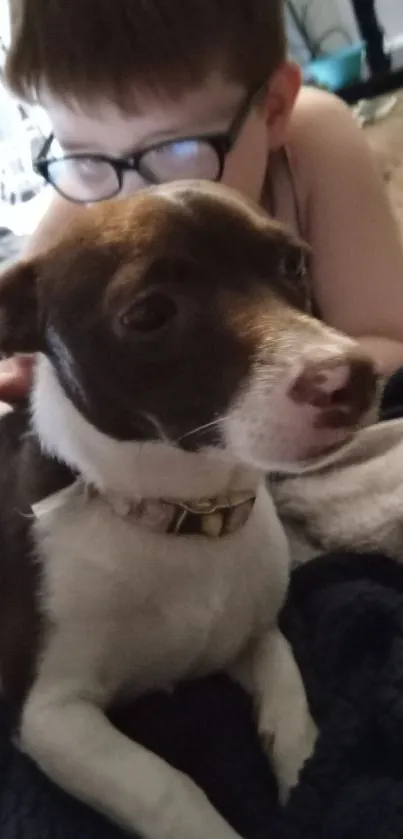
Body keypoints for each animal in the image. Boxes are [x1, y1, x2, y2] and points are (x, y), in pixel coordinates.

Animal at [0, 182, 378, 839]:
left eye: (293, 264)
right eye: (148, 314)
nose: (354, 377)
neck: (185, 512)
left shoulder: (256, 636)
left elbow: (292, 702)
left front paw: (305, 777)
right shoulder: (52, 714)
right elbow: (167, 788)